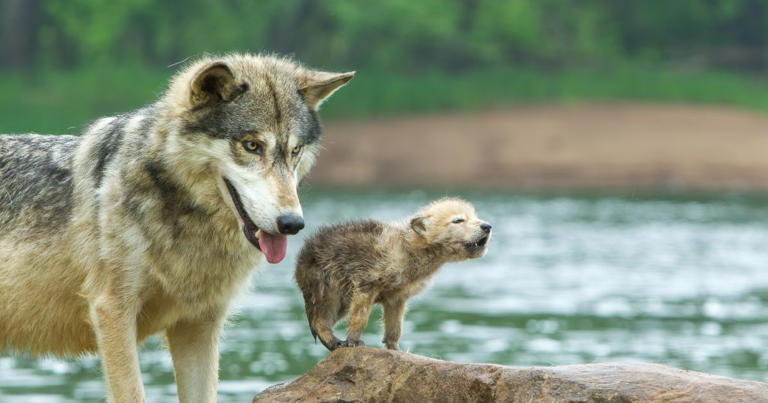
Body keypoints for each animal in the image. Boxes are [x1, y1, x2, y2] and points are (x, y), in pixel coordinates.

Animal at [295, 198, 491, 351]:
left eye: (474, 216)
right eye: (458, 220)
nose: (487, 226)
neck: (410, 248)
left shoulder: (397, 296)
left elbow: (394, 325)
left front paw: (395, 348)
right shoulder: (367, 279)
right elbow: (359, 314)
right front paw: (353, 341)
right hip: (327, 283)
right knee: (320, 318)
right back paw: (333, 341)